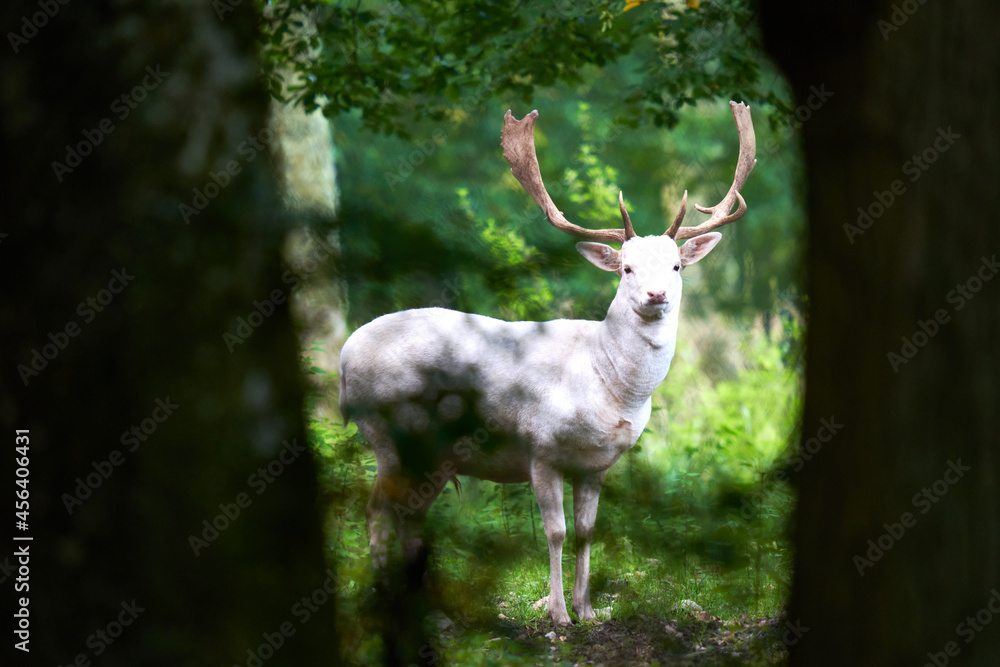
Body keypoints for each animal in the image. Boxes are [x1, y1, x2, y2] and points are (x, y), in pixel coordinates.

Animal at [340, 99, 752, 628]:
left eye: (676, 266)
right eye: (626, 268)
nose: (656, 294)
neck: (609, 385)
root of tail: (345, 355)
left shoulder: (597, 464)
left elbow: (586, 532)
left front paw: (589, 610)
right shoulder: (540, 447)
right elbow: (554, 532)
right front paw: (557, 615)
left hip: (433, 454)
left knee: (410, 513)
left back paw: (435, 615)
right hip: (388, 433)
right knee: (376, 510)